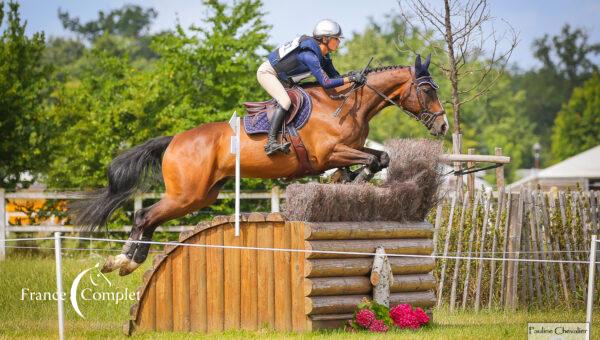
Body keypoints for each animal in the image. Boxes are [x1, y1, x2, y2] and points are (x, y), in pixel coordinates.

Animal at [75, 54, 448, 274]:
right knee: (144, 216)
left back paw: (129, 262)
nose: (443, 127)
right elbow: (374, 159)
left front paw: (347, 183)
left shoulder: (345, 152)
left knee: (152, 218)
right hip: (187, 193)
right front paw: (354, 182)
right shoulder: (331, 153)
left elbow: (376, 159)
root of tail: (175, 139)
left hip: (201, 195)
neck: (346, 105)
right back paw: (122, 261)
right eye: (428, 90)